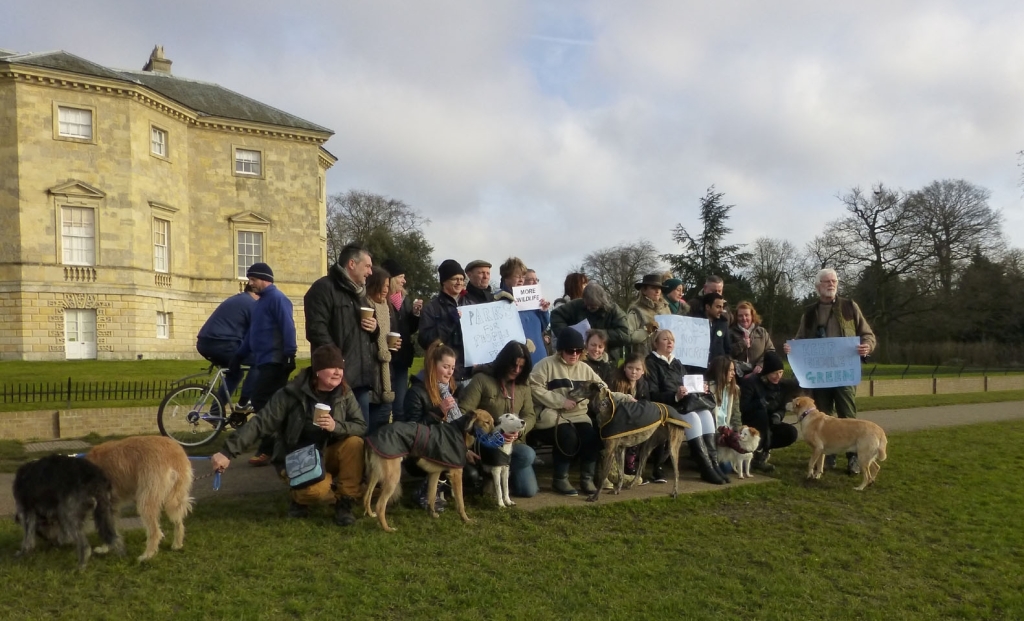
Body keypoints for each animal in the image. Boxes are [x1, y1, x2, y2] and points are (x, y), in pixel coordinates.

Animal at [364, 411, 495, 532]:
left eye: (493, 422)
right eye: (487, 422)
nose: (494, 435)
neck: (460, 430)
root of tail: (371, 437)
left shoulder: (434, 474)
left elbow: (431, 496)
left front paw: (432, 514)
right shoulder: (456, 474)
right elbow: (461, 502)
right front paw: (466, 519)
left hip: (376, 474)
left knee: (367, 495)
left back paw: (370, 514)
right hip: (393, 478)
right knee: (380, 506)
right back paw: (387, 528)